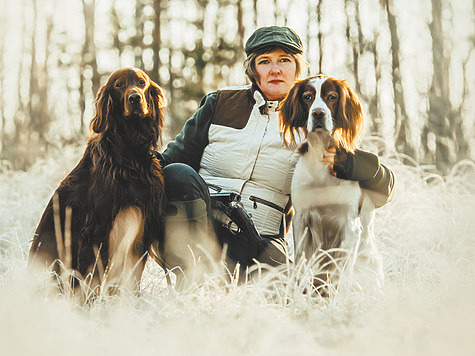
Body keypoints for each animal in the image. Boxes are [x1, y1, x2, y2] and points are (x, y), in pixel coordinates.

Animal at [280, 75, 384, 294]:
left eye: (332, 97)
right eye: (308, 97)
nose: (318, 114)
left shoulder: (350, 226)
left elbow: (339, 276)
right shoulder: (302, 219)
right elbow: (301, 266)